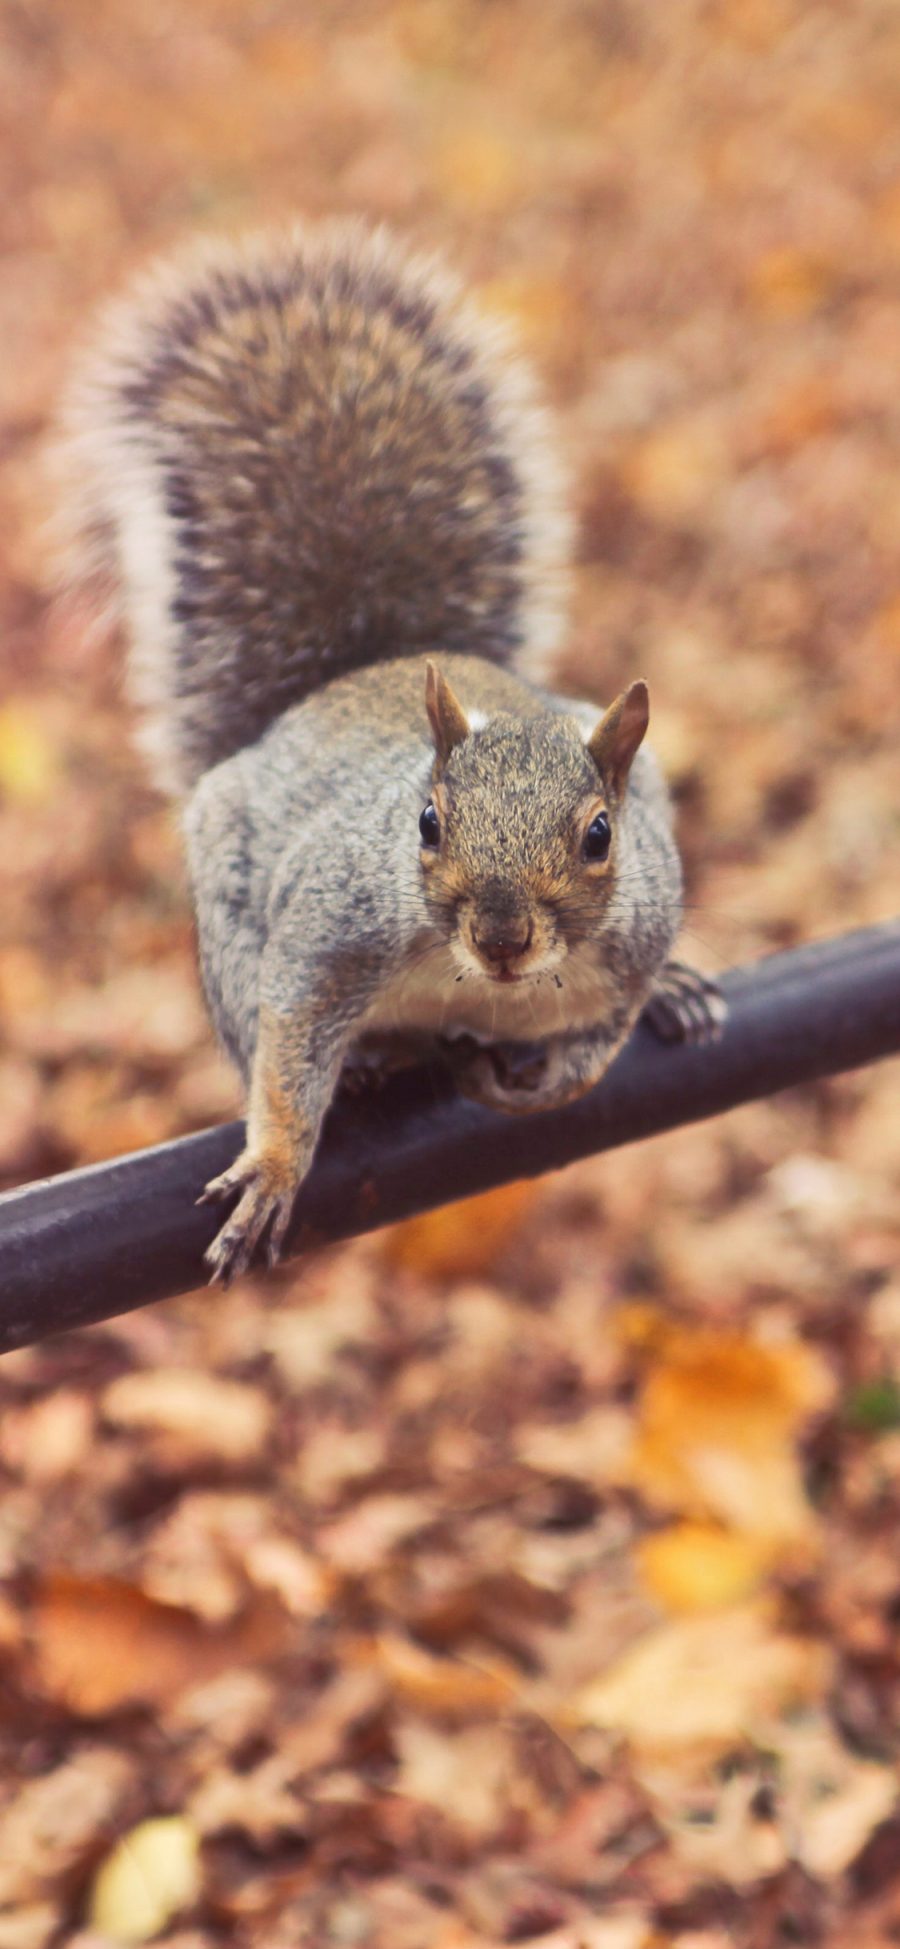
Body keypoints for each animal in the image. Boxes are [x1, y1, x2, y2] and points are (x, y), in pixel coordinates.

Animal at [59, 221, 724, 1286]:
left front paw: (548, 1080)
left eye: (600, 837)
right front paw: (275, 1167)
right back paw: (375, 1064)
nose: (501, 937)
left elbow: (594, 1057)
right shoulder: (329, 933)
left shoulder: (636, 934)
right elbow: (288, 1049)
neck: (490, 991)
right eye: (426, 821)